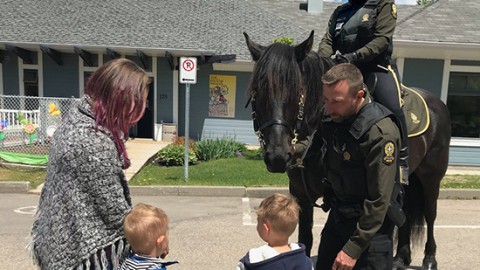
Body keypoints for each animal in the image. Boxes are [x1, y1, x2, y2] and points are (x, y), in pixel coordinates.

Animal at [246, 30, 452, 268]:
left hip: (431, 178)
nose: (277, 156)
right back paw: (401, 257)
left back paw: (429, 258)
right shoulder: (301, 194)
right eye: (256, 92)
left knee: (430, 214)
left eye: (297, 91)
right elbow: (305, 238)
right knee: (407, 214)